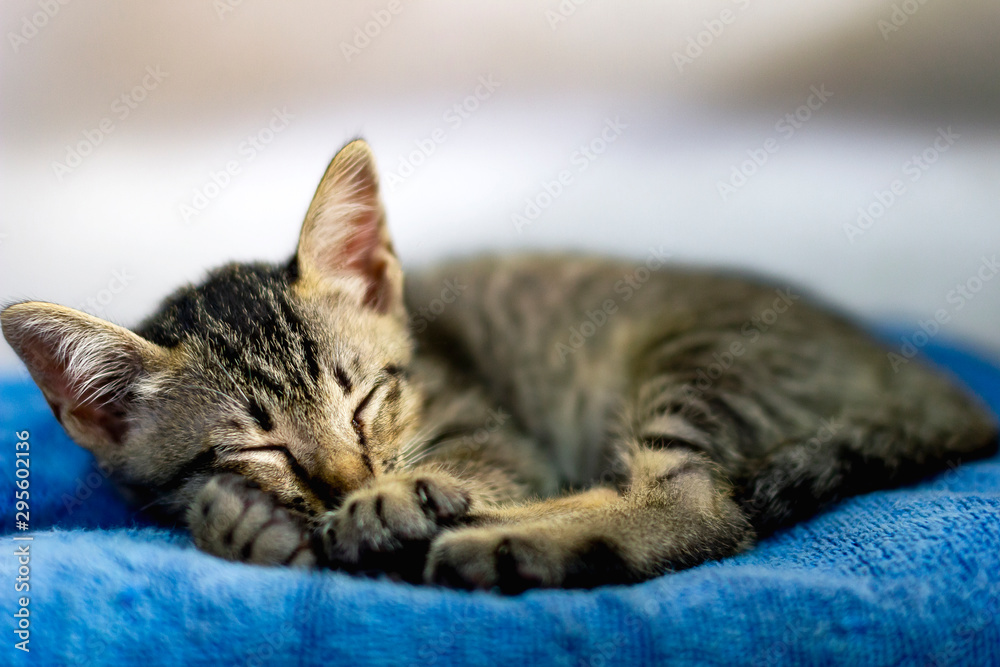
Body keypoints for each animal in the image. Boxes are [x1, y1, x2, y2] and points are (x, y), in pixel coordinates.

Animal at [3, 144, 996, 592]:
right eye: (262, 449)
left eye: (365, 399)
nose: (349, 482)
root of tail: (936, 387)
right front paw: (245, 521)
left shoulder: (503, 437)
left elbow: (486, 464)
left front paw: (390, 501)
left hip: (704, 360)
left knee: (701, 510)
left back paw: (485, 537)